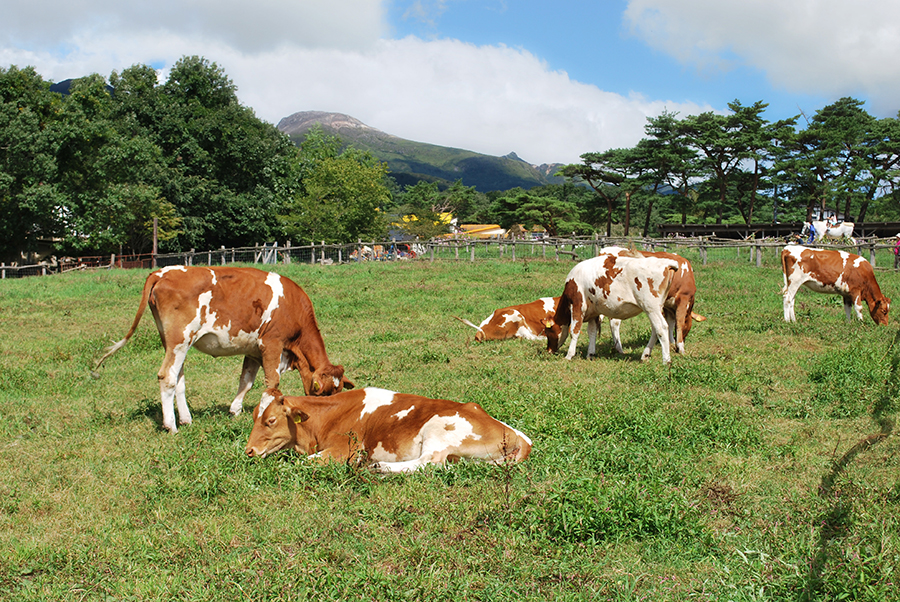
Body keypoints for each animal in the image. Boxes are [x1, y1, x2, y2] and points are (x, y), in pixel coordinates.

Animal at [95, 264, 354, 428]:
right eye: (324, 393)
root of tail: (162, 271)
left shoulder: (253, 350)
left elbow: (246, 381)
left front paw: (236, 410)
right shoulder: (271, 343)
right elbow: (272, 383)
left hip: (174, 343)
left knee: (179, 379)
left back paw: (186, 419)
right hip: (180, 339)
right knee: (167, 376)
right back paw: (171, 425)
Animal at [244, 386, 536, 472]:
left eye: (271, 420)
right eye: (255, 416)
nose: (248, 451)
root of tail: (521, 438)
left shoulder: (343, 450)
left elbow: (299, 463)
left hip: (438, 429)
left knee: (429, 463)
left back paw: (380, 467)